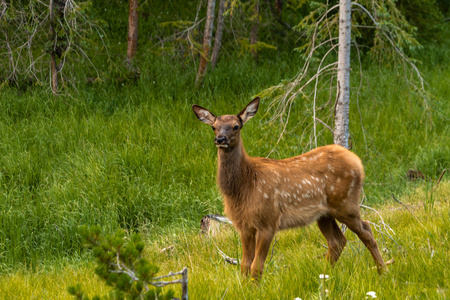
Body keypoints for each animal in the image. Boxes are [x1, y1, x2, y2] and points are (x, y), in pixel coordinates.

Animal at [192, 97, 384, 278]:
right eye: (214, 127)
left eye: (236, 126)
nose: (220, 139)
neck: (245, 186)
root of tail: (357, 161)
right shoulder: (244, 225)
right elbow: (245, 265)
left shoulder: (268, 220)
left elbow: (256, 267)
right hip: (324, 214)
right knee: (337, 241)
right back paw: (325, 276)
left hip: (346, 203)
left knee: (366, 231)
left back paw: (382, 271)